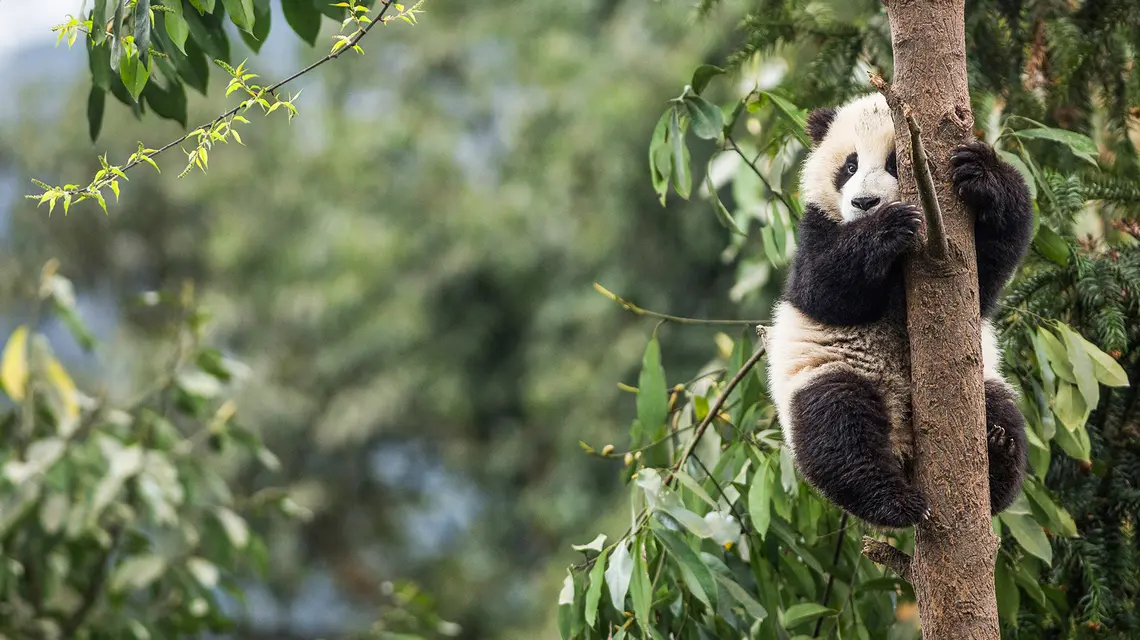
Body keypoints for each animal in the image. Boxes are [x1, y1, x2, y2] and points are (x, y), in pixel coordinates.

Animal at [764, 92, 1033, 528]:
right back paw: (896, 502)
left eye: (895, 163)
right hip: (828, 372)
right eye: (850, 165)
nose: (864, 203)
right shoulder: (815, 228)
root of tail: (904, 445)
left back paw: (999, 453)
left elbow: (987, 276)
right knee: (839, 431)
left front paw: (982, 174)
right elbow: (821, 288)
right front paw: (888, 228)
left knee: (1001, 408)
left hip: (983, 381)